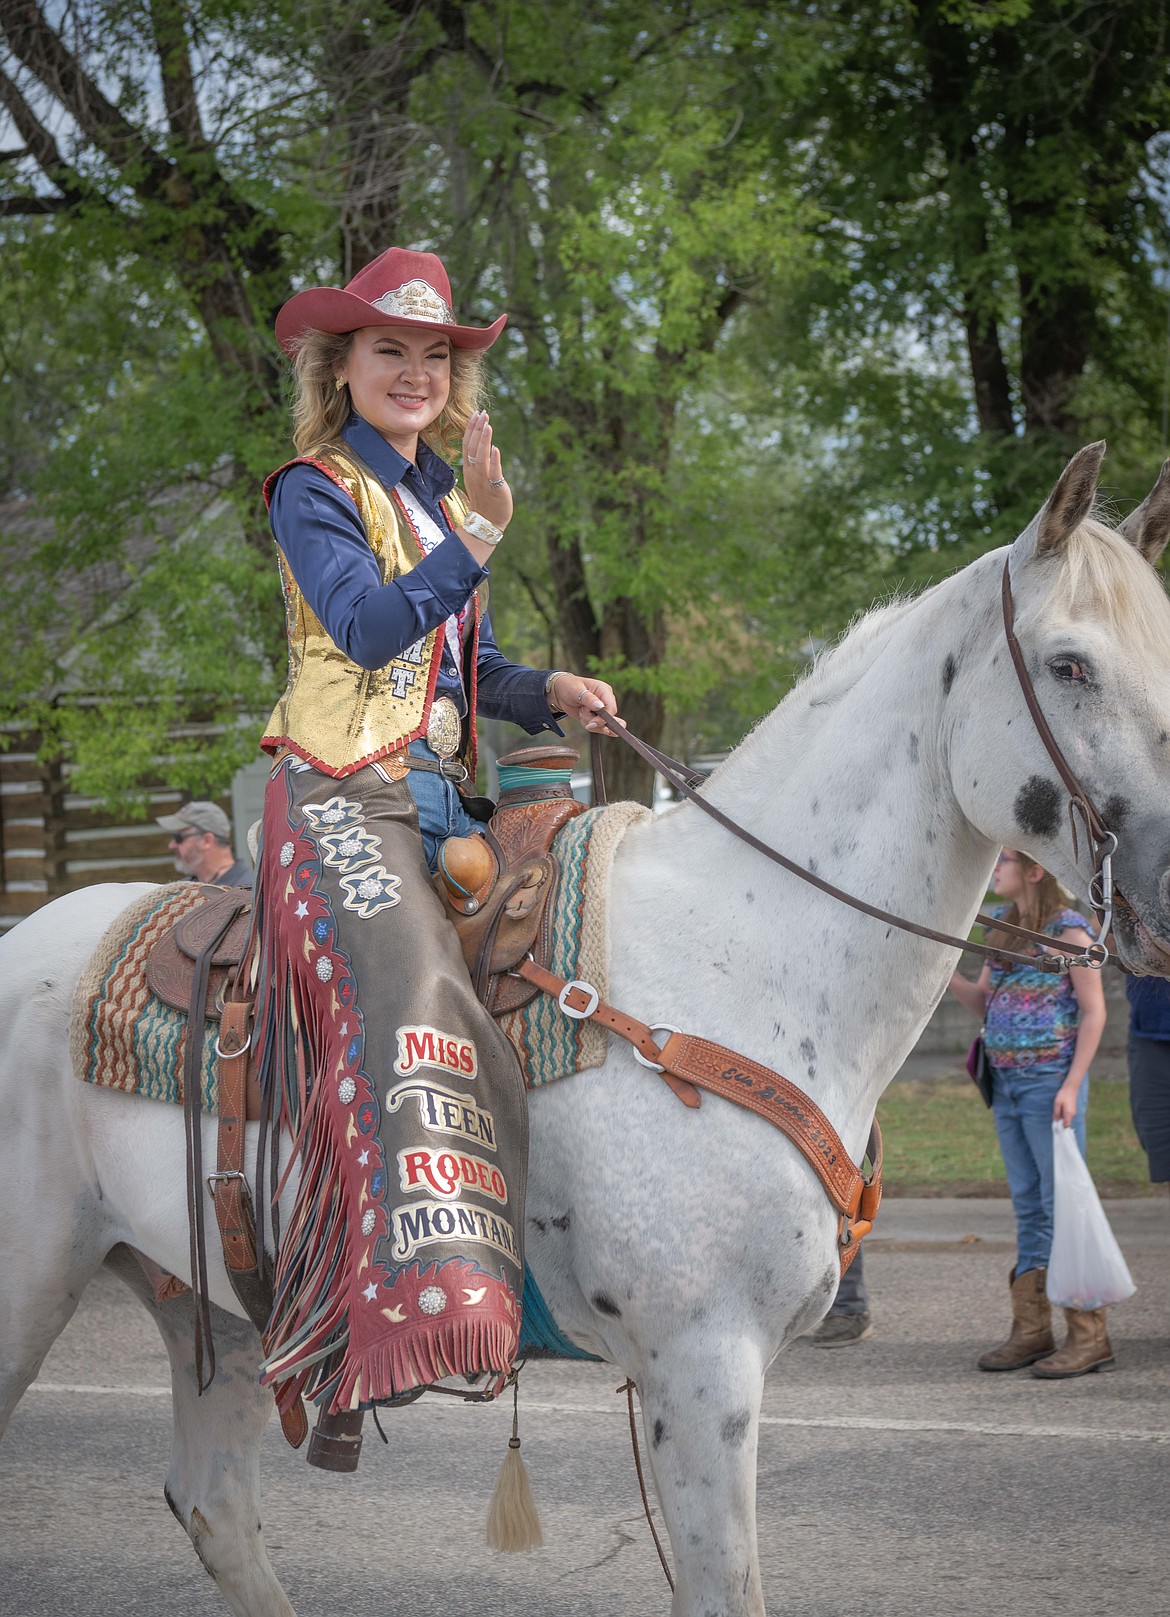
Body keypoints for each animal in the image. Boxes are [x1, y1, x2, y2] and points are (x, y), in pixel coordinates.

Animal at [6, 446, 1170, 1617]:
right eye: (1070, 664)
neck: (739, 958)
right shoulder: (701, 1369)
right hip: (36, 1280)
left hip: (217, 1305)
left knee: (215, 1506)